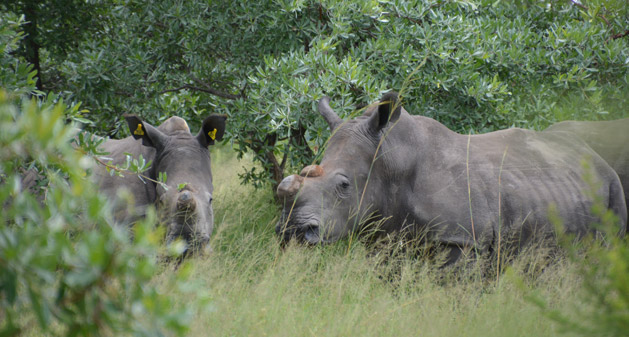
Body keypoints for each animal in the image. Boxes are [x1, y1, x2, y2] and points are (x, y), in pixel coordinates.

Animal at [278, 92, 624, 262]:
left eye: (344, 185)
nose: (294, 231)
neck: (389, 161)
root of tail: (593, 155)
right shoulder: (386, 235)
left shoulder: (463, 239)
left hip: (613, 187)